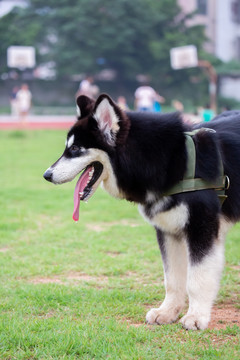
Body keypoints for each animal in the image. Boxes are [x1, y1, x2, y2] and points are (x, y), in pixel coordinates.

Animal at [43, 94, 240, 330]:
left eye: (74, 149)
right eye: (67, 148)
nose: (46, 175)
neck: (170, 160)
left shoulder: (201, 228)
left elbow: (197, 278)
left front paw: (196, 317)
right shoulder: (168, 230)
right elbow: (172, 279)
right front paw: (167, 312)